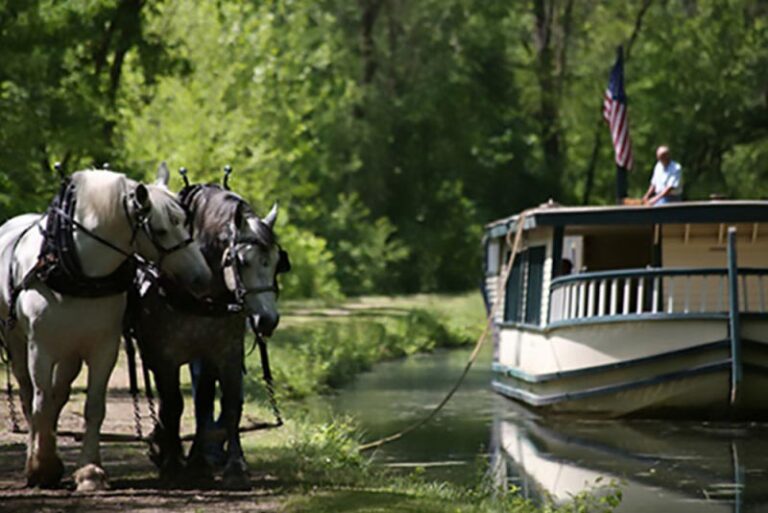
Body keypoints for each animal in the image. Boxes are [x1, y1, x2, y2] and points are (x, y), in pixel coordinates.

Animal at [0, 166, 213, 490]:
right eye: (161, 230)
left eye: (185, 223)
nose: (203, 278)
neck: (77, 272)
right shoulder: (41, 348)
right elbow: (39, 403)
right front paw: (42, 466)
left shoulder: (104, 347)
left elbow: (93, 407)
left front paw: (90, 471)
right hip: (17, 342)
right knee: (29, 396)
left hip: (71, 350)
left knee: (59, 393)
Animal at [126, 181, 288, 484]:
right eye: (242, 261)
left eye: (276, 262)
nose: (267, 320)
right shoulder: (165, 356)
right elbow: (174, 404)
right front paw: (173, 464)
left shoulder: (220, 350)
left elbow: (215, 403)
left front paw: (221, 465)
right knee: (166, 401)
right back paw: (162, 446)